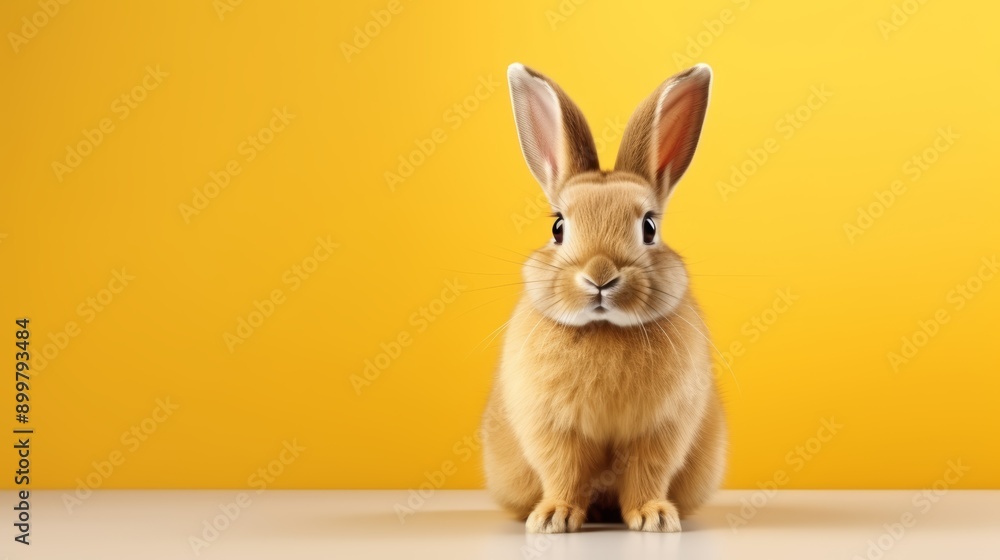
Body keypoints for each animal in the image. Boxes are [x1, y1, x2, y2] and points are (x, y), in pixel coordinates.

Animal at [480, 62, 727, 533]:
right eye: (558, 227)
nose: (600, 277)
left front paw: (653, 518)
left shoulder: (661, 429)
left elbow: (648, 472)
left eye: (649, 227)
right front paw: (554, 518)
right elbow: (562, 471)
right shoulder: (553, 429)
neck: (603, 328)